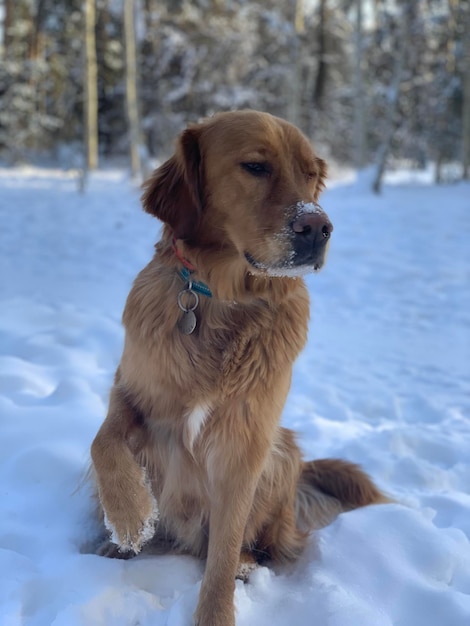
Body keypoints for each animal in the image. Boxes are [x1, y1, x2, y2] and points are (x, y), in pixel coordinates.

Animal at [91, 109, 386, 620]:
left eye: (310, 173)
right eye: (255, 167)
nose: (318, 228)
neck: (222, 299)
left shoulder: (244, 445)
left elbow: (223, 552)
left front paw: (216, 613)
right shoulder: (130, 389)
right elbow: (104, 440)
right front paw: (129, 516)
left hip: (282, 453)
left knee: (254, 544)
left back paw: (248, 564)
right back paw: (115, 545)